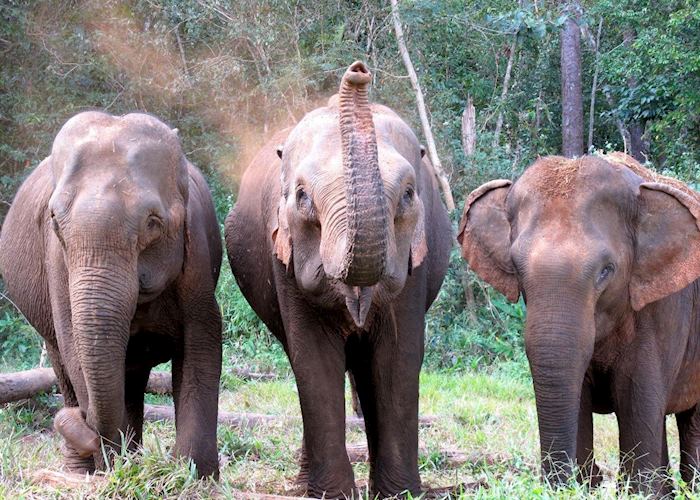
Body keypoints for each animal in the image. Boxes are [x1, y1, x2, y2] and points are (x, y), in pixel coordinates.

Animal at [0, 111, 222, 478]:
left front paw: (192, 476)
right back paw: (88, 468)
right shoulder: (57, 261)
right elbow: (74, 345)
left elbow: (202, 344)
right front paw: (115, 470)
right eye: (54, 220)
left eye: (153, 222)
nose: (85, 429)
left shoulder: (198, 258)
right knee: (68, 365)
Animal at [225, 61, 451, 498]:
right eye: (302, 197)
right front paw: (333, 494)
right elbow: (313, 360)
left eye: (409, 194)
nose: (358, 71)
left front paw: (399, 494)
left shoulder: (417, 265)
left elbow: (398, 358)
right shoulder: (284, 263)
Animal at [458, 152, 700, 494]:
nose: (553, 485)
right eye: (516, 267)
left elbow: (638, 399)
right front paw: (585, 483)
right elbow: (580, 399)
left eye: (606, 271)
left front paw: (636, 491)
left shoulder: (661, 310)